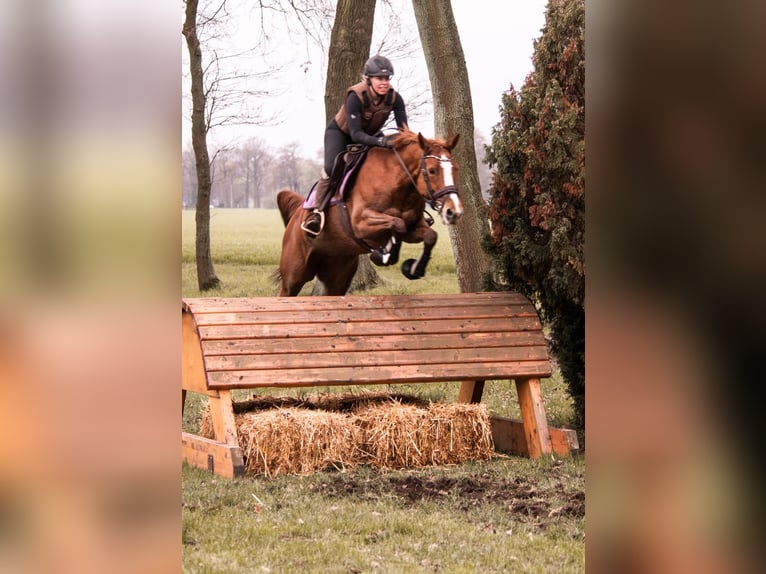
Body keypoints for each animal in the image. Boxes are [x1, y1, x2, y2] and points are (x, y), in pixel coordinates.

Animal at [276, 127, 462, 296]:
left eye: (455, 168)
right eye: (432, 171)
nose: (454, 211)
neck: (398, 185)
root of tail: (296, 215)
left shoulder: (414, 227)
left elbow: (429, 235)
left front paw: (414, 268)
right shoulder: (361, 224)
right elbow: (397, 223)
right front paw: (384, 255)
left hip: (338, 276)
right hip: (294, 275)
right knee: (287, 291)